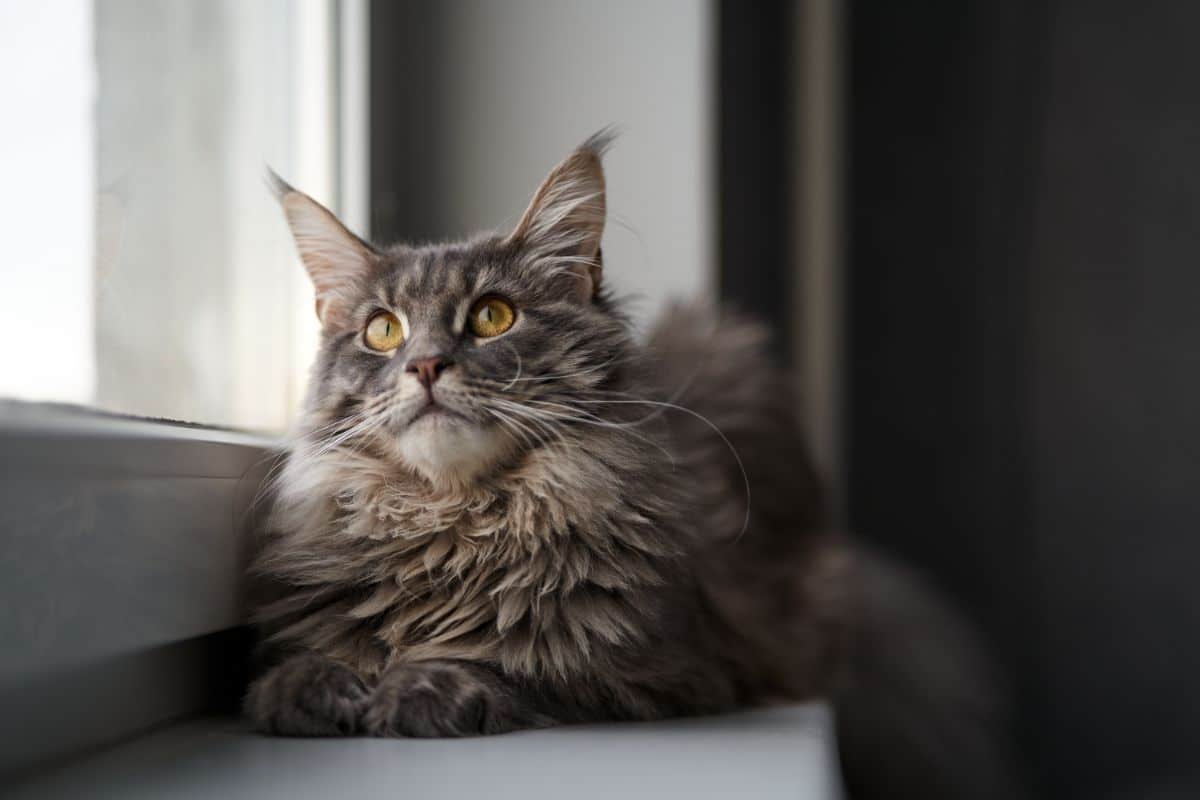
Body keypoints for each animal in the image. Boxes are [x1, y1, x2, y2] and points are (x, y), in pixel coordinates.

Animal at [248, 133, 1027, 800]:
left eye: (493, 316)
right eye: (383, 332)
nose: (426, 365)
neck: (457, 522)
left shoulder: (673, 667)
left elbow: (514, 660)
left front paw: (422, 684)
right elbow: (321, 658)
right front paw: (306, 684)